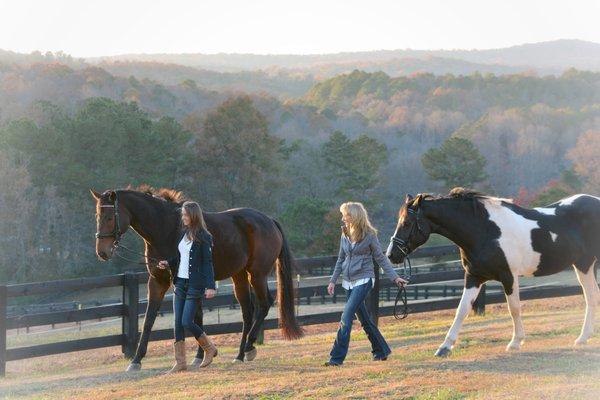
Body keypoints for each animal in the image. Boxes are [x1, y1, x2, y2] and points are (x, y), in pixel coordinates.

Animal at [91, 188, 302, 372]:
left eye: (110, 217)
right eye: (97, 216)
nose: (102, 252)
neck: (165, 228)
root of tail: (269, 221)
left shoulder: (185, 282)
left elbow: (191, 317)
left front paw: (201, 356)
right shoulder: (158, 281)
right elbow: (150, 319)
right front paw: (136, 360)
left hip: (257, 274)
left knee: (264, 304)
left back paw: (249, 348)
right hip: (239, 275)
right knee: (247, 312)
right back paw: (240, 354)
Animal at [386, 189, 596, 358]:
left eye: (406, 223)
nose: (391, 254)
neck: (485, 231)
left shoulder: (508, 277)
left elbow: (514, 309)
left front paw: (515, 342)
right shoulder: (474, 277)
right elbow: (462, 310)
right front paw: (444, 347)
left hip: (586, 265)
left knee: (590, 298)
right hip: (584, 265)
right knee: (593, 297)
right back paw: (583, 338)